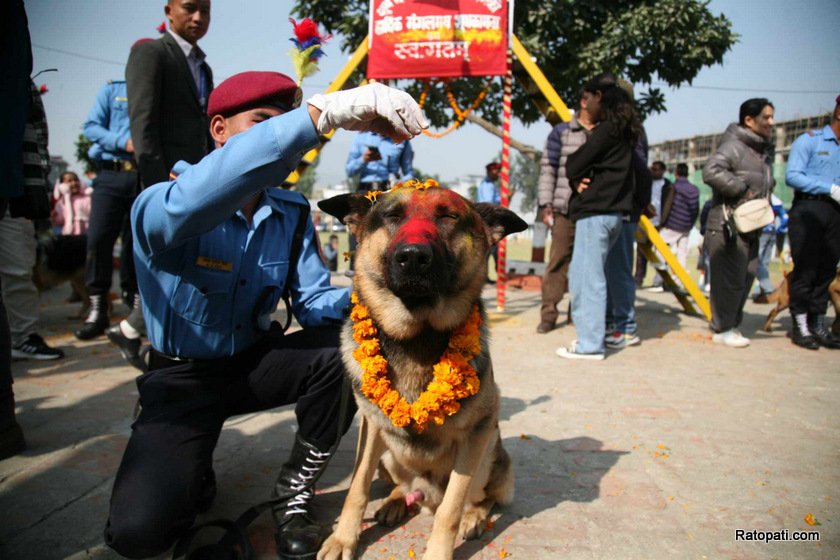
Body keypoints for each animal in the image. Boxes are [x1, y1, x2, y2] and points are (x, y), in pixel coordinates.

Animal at [318, 184, 528, 560]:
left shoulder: (478, 431)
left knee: (478, 497)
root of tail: (425, 493)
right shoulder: (370, 427)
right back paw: (396, 501)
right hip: (389, 455)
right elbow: (356, 488)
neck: (416, 335)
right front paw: (344, 538)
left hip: (486, 454)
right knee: (404, 487)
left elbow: (450, 509)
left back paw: (473, 516)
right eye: (392, 215)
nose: (413, 256)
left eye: (449, 216)